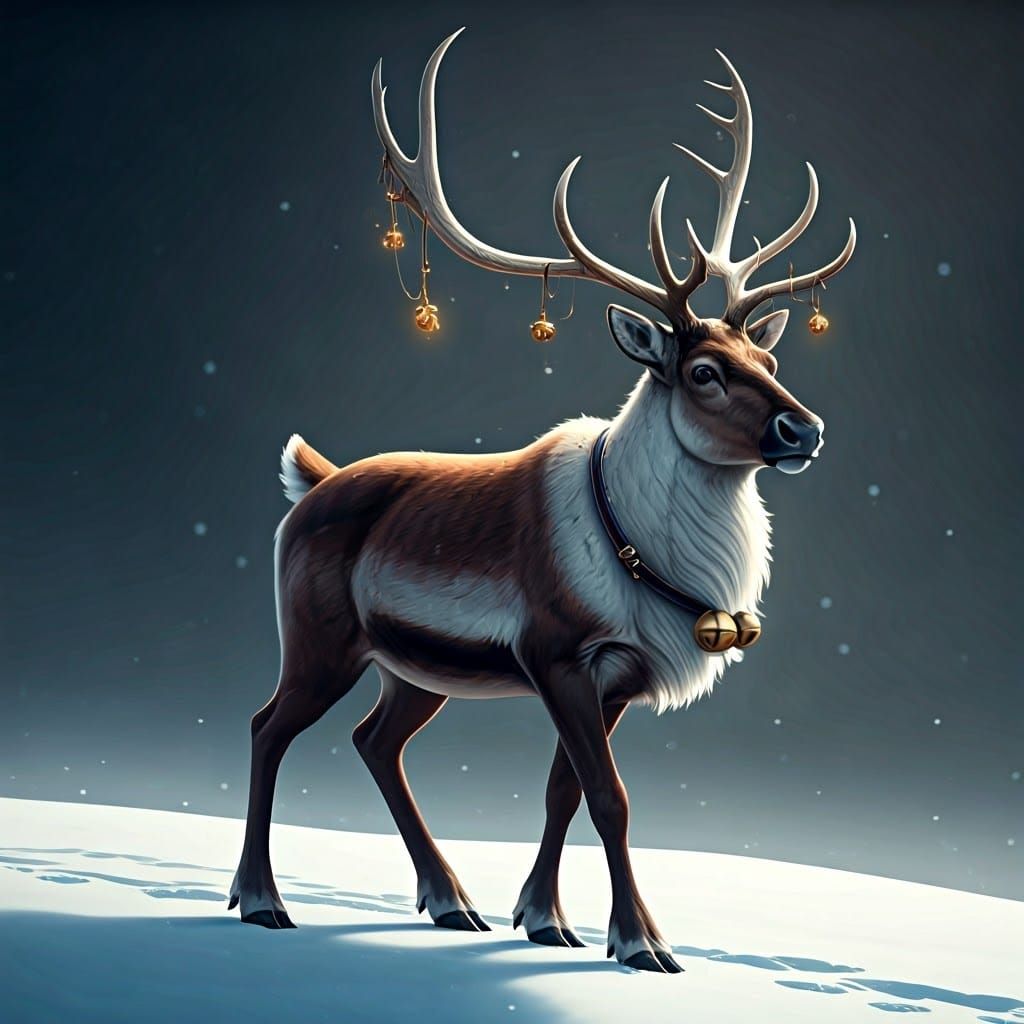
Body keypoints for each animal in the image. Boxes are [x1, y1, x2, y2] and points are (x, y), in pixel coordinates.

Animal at [228, 28, 855, 973]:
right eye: (704, 371)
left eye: (771, 359)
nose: (803, 429)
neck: (651, 559)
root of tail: (313, 478)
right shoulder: (556, 652)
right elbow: (609, 797)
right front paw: (642, 942)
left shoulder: (616, 676)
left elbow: (564, 789)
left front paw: (545, 919)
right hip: (320, 638)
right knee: (268, 726)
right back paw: (260, 900)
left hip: (415, 666)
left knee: (375, 741)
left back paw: (451, 901)